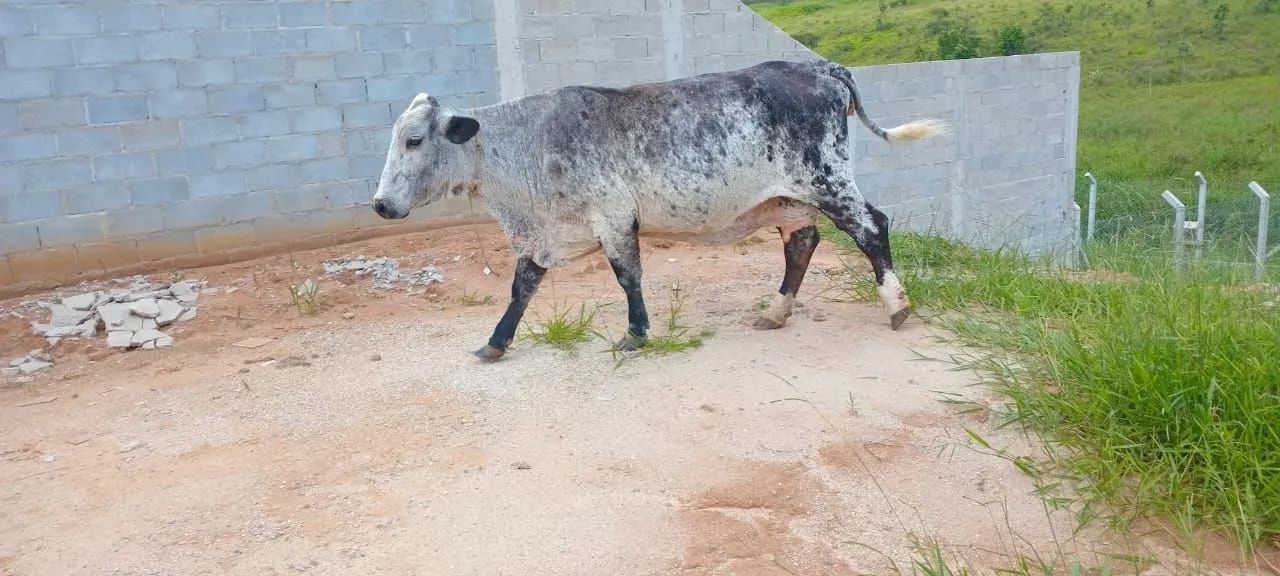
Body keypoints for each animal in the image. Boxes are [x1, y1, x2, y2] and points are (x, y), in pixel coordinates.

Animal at [371, 58, 946, 361]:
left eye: (415, 140)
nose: (380, 204)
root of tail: (816, 66)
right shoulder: (545, 235)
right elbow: (522, 286)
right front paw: (495, 343)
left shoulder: (613, 217)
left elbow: (628, 276)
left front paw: (636, 332)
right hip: (792, 200)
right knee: (803, 245)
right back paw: (775, 311)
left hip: (827, 181)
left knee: (872, 227)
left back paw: (896, 305)